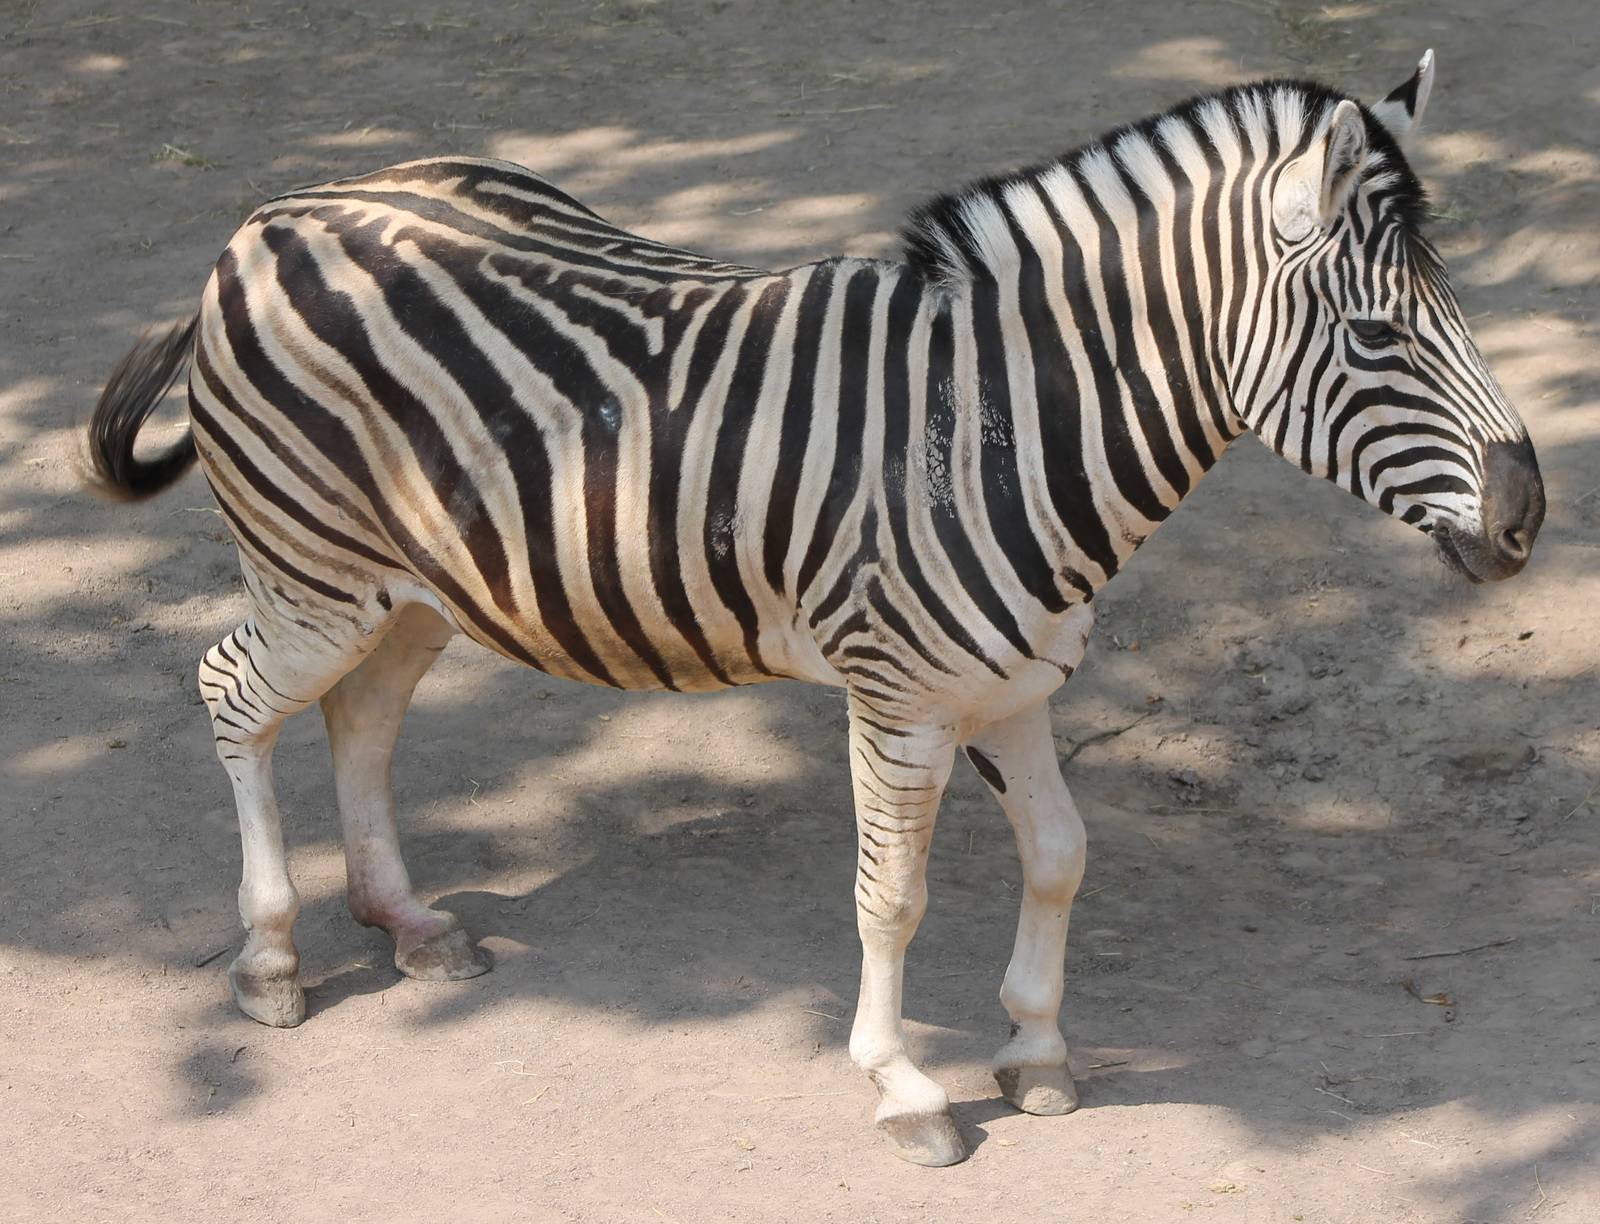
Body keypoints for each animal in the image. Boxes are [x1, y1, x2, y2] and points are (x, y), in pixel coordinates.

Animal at [87, 51, 1543, 1166]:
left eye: (1456, 306)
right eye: (1377, 339)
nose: (1529, 516)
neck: (998, 425)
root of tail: (274, 212)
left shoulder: (1016, 681)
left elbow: (1061, 855)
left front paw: (1035, 1048)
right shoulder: (899, 694)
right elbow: (889, 894)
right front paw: (903, 1088)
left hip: (418, 585)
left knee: (365, 720)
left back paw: (405, 923)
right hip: (312, 571)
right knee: (234, 697)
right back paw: (271, 960)